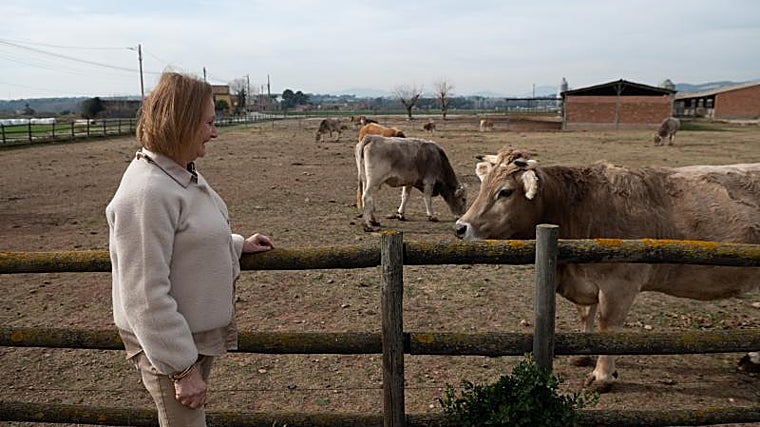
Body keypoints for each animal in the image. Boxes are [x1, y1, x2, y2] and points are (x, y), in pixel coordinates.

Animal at [455, 147, 760, 392]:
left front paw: (602, 376)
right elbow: (585, 314)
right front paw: (583, 354)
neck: (577, 207)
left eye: (505, 192)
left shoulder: (619, 285)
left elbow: (608, 326)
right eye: (482, 186)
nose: (460, 227)